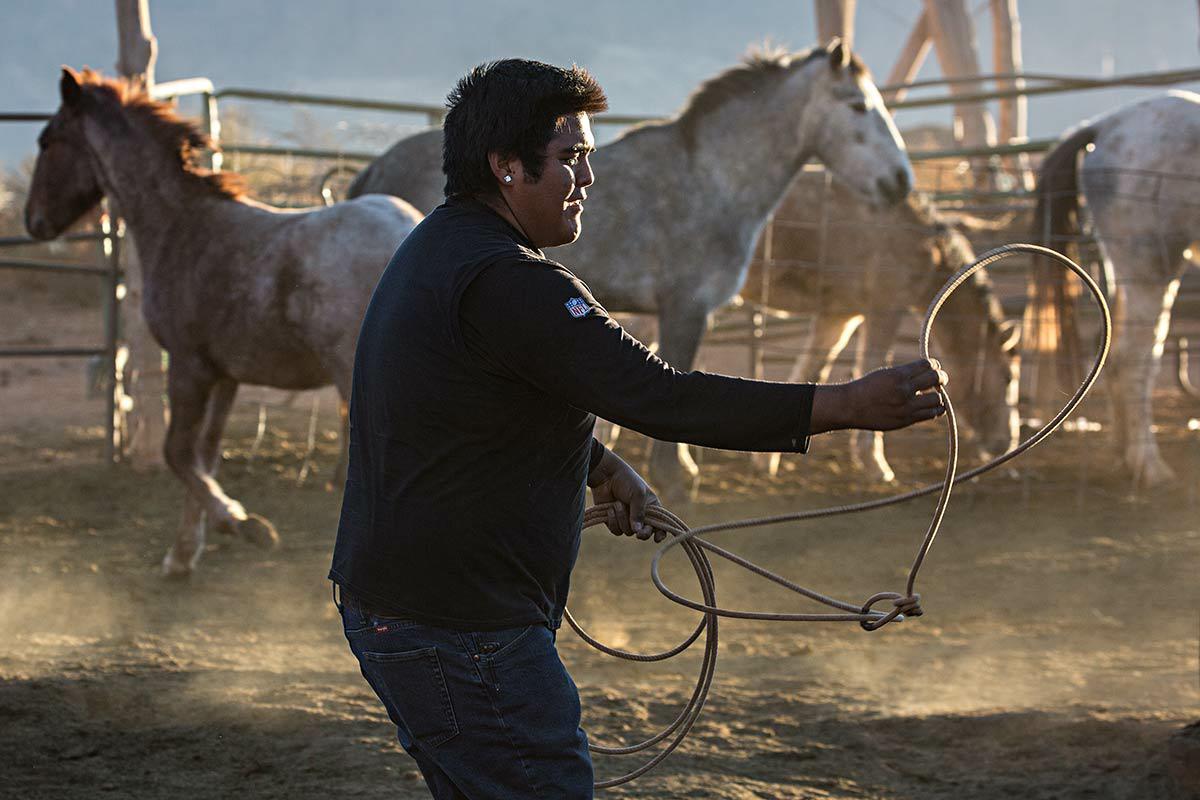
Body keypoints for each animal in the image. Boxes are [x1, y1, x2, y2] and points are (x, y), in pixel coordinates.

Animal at [25, 68, 422, 575]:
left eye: (48, 140)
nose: (33, 221)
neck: (181, 224)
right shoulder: (226, 374)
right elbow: (206, 457)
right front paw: (184, 552)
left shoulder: (188, 366)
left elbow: (177, 453)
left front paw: (241, 523)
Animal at [739, 173, 1020, 481]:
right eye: (1008, 377)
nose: (1005, 444)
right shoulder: (885, 309)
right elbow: (870, 362)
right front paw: (875, 464)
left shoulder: (838, 316)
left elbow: (810, 368)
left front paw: (767, 462)